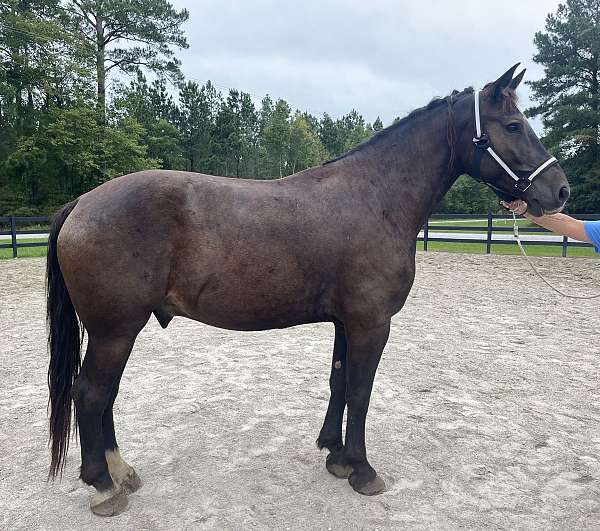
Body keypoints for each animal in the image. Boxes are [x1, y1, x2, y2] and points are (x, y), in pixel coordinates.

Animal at [47, 64, 572, 516]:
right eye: (513, 126)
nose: (561, 191)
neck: (375, 197)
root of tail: (82, 204)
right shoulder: (371, 324)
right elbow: (361, 390)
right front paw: (363, 470)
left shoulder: (346, 322)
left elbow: (339, 382)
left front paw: (335, 457)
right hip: (116, 331)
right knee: (90, 394)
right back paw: (103, 486)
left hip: (116, 333)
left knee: (105, 395)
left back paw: (120, 471)